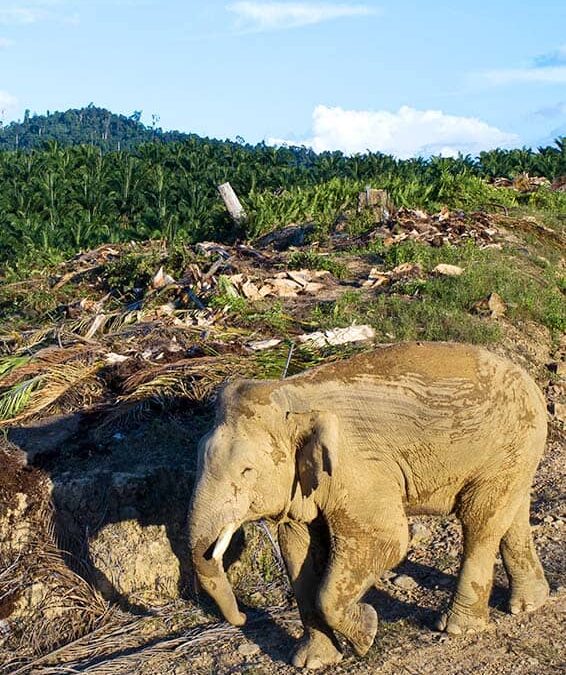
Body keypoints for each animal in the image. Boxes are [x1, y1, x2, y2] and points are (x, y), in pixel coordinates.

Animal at [188, 342, 549, 669]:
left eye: (246, 471)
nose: (244, 617)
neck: (292, 394)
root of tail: (529, 379)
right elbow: (297, 548)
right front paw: (312, 662)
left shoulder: (357, 468)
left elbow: (386, 539)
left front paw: (367, 632)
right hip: (515, 454)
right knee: (511, 515)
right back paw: (528, 605)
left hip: (506, 446)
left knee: (479, 522)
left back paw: (458, 628)